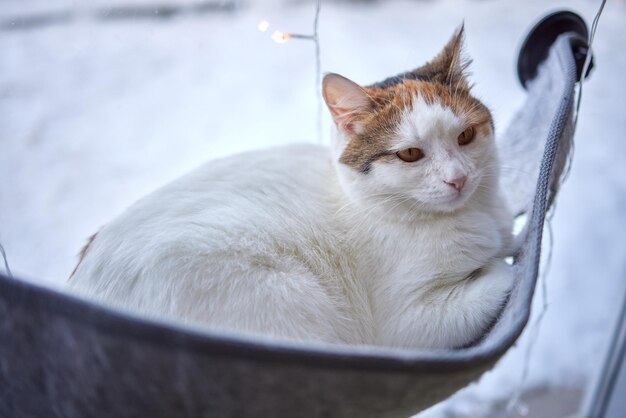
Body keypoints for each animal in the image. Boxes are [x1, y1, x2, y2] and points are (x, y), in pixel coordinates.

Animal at [67, 27, 512, 350]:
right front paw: (503, 269)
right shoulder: (408, 323)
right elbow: (495, 279)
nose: (457, 178)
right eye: (410, 155)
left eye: (466, 135)